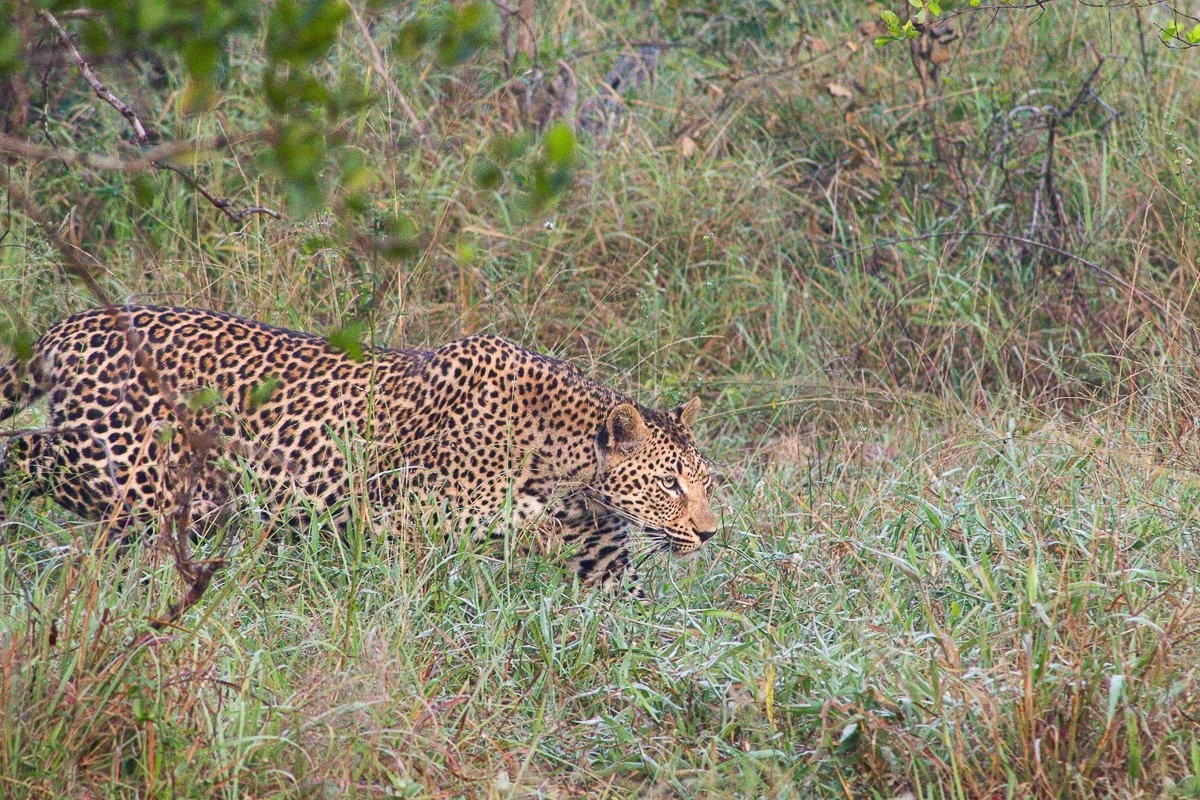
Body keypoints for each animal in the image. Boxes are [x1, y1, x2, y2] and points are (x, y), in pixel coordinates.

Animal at [0, 305, 719, 596]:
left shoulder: (605, 565)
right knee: (21, 449)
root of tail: (69, 326)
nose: (712, 533)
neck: (569, 473)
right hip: (123, 472)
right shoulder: (402, 521)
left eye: (705, 482)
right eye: (669, 484)